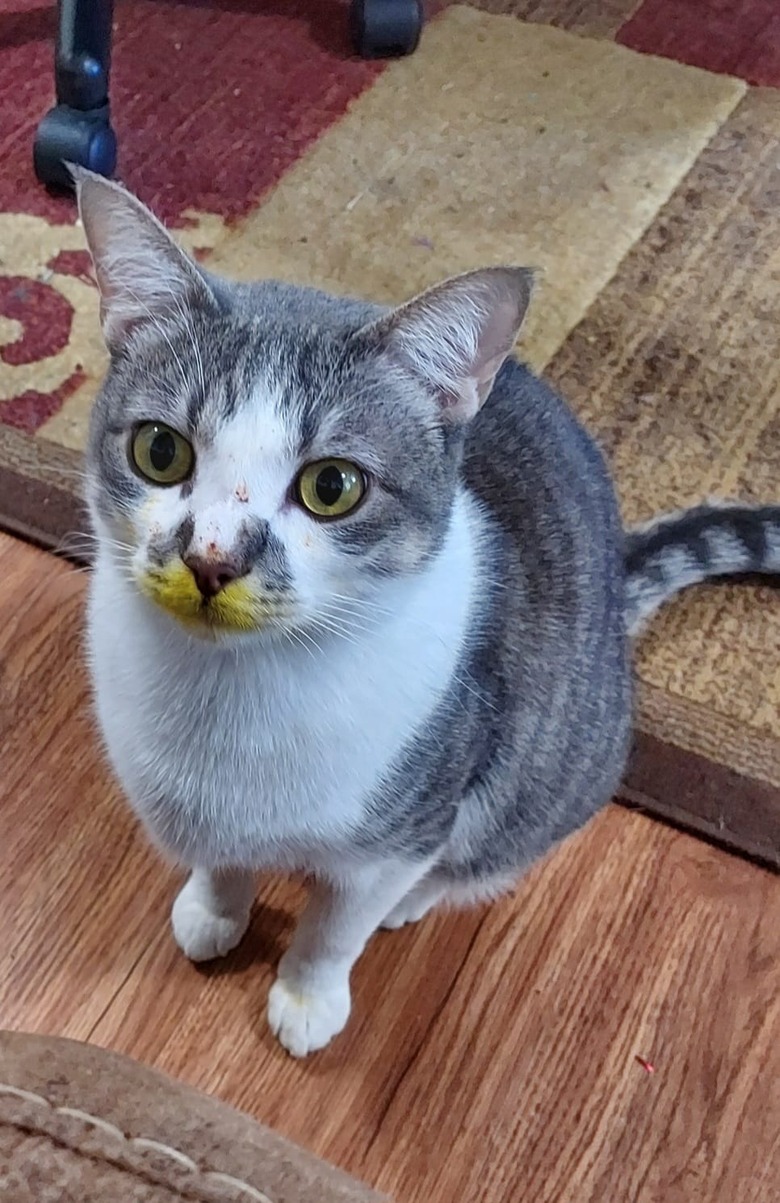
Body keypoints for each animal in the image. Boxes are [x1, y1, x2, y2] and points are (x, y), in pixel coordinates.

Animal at [76, 167, 780, 1053]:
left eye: (332, 485)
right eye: (160, 450)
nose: (212, 558)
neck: (229, 695)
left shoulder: (405, 827)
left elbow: (337, 924)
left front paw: (308, 997)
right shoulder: (196, 807)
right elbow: (224, 860)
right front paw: (214, 910)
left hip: (548, 776)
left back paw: (415, 902)